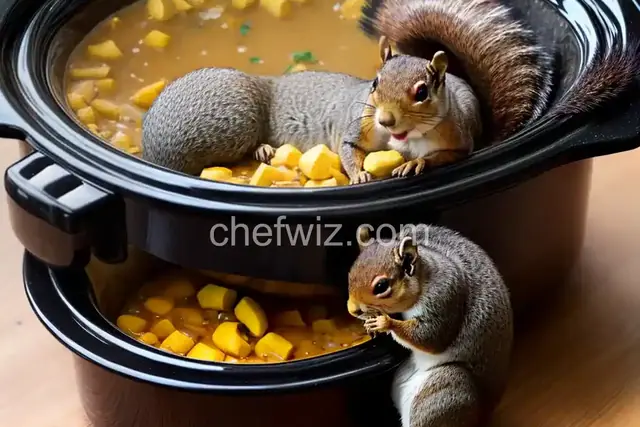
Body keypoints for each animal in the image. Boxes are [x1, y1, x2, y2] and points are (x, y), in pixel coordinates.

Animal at [142, 0, 640, 181]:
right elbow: (347, 149)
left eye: (423, 91)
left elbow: (449, 156)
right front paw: (360, 173)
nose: (385, 120)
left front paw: (414, 165)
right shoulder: (356, 126)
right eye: (376, 83)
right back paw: (263, 150)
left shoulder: (459, 140)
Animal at [347, 224, 513, 427]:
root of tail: (482, 416)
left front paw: (385, 322)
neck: (425, 278)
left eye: (381, 286)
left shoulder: (445, 298)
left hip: (445, 392)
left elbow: (431, 337)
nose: (352, 310)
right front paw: (369, 324)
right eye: (350, 273)